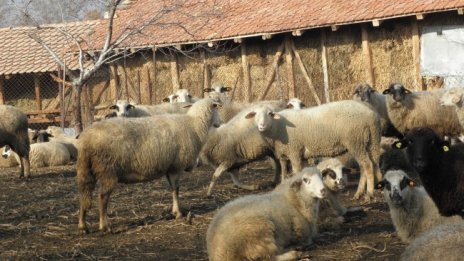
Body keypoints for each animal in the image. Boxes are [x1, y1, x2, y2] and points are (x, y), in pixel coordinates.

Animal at [76, 98, 221, 233]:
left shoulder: (169, 167)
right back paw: (104, 226)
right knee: (102, 197)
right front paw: (178, 213)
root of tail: (85, 140)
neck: (194, 125)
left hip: (86, 169)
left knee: (84, 195)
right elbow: (176, 189)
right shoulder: (176, 166)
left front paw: (175, 211)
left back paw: (83, 226)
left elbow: (172, 189)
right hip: (107, 170)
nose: (219, 123)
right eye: (216, 108)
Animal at [245, 99, 382, 199]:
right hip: (370, 141)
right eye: (255, 114)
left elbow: (296, 172)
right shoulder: (283, 154)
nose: (261, 126)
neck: (277, 127)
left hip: (355, 141)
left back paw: (368, 194)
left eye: (270, 114)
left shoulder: (294, 151)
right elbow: (284, 173)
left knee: (367, 165)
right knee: (368, 164)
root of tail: (371, 113)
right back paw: (360, 192)